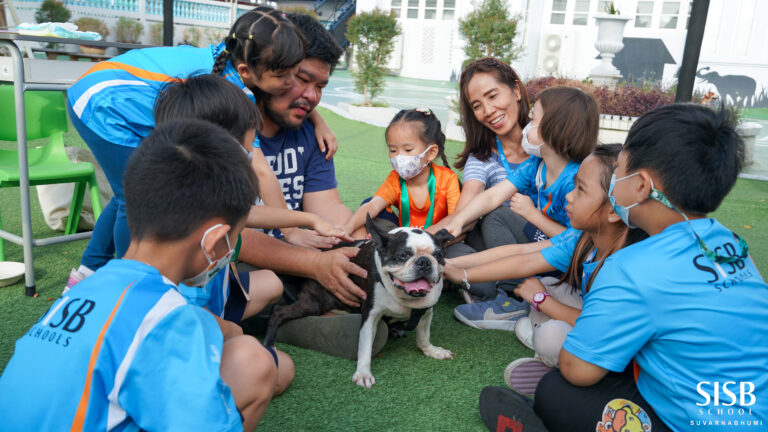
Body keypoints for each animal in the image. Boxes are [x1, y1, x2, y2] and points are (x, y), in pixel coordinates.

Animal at [264, 216, 456, 388]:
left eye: (439, 255)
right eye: (403, 255)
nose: (424, 262)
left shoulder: (426, 311)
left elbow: (423, 336)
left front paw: (431, 351)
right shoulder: (370, 315)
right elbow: (365, 347)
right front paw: (363, 373)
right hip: (313, 303)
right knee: (279, 311)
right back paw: (270, 344)